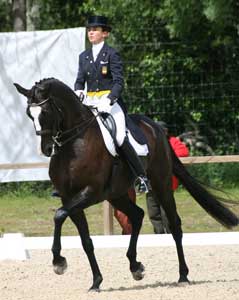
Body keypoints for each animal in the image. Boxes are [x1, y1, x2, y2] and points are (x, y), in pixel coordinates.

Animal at [14, 77, 237, 290]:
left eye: (45, 112)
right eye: (29, 114)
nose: (47, 149)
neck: (74, 143)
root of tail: (155, 127)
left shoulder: (90, 193)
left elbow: (59, 215)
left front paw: (59, 262)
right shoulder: (70, 198)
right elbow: (84, 239)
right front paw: (96, 281)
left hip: (161, 184)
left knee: (174, 225)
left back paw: (183, 276)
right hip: (117, 195)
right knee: (137, 215)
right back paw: (135, 266)